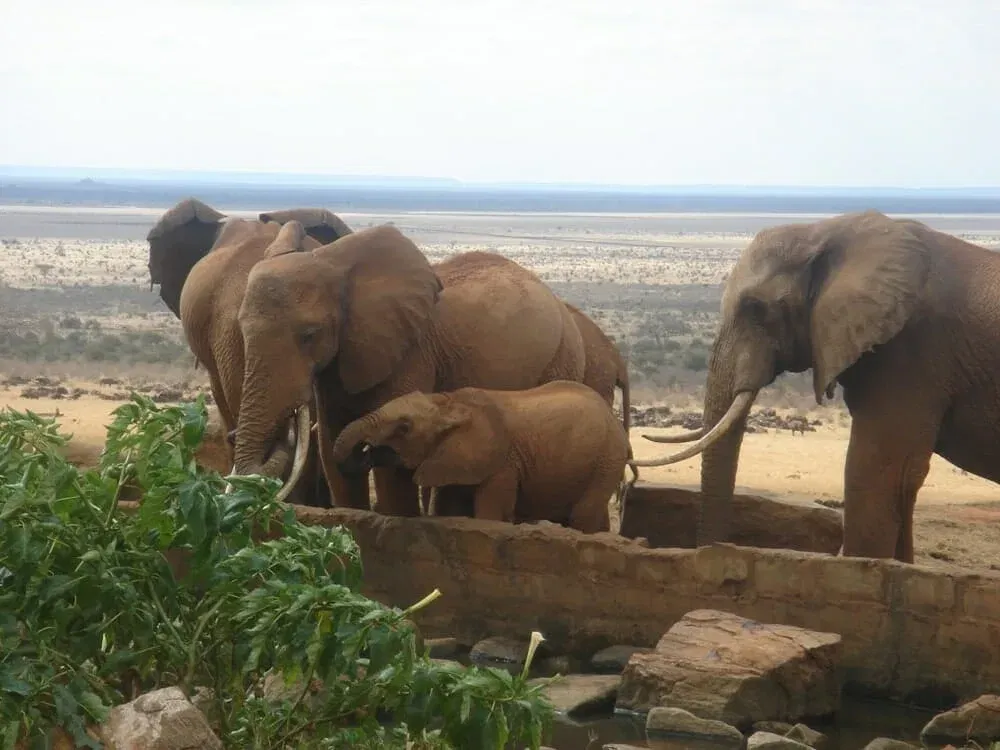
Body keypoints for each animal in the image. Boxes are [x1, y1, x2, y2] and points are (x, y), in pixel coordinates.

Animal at [231, 219, 587, 518]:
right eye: (241, 329)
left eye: (309, 335)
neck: (335, 263)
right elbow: (331, 446)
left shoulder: (410, 353)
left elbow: (391, 465)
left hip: (562, 358)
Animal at [329, 381, 632, 533]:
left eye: (404, 427)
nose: (366, 452)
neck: (448, 403)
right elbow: (448, 509)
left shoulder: (503, 463)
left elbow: (490, 515)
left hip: (608, 458)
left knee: (583, 515)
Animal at [634, 209, 1000, 563]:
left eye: (755, 308)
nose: (712, 551)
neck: (824, 230)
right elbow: (902, 485)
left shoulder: (911, 352)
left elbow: (877, 474)